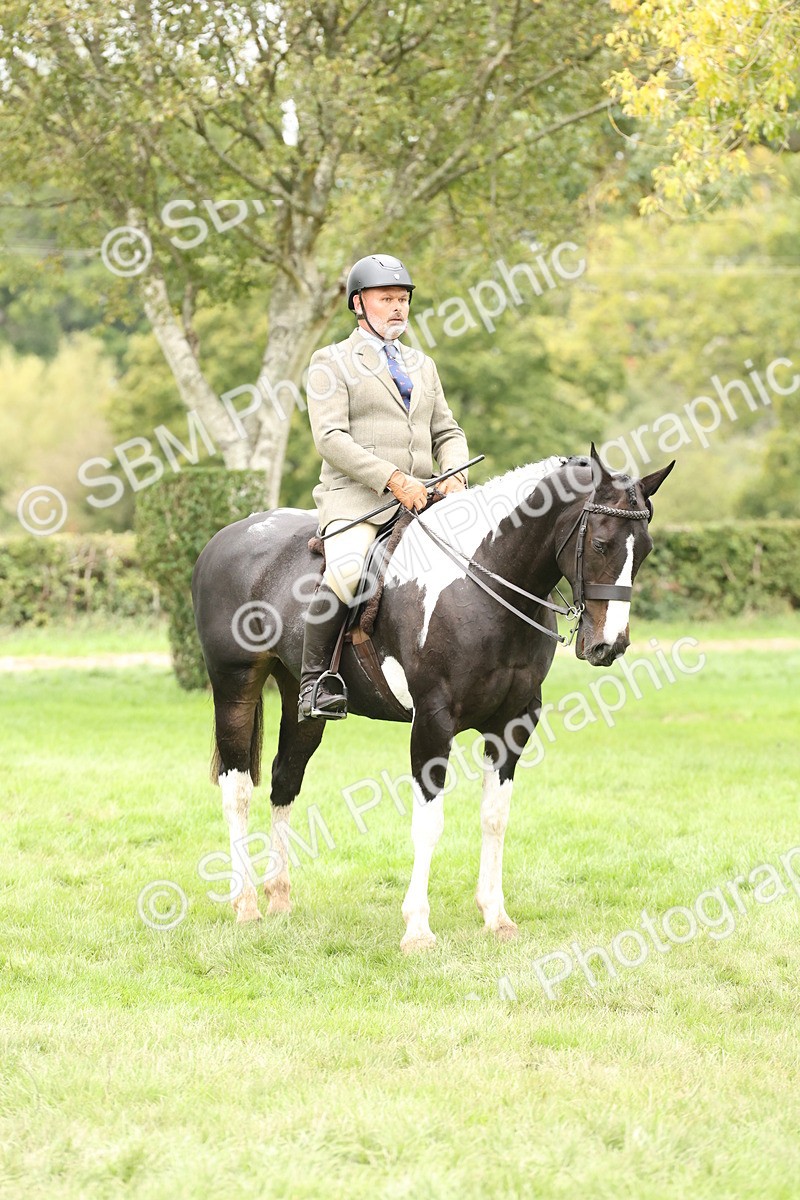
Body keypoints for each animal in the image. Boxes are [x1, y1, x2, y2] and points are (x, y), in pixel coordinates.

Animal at [191, 445, 674, 951]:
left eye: (645, 550)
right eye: (600, 544)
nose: (609, 645)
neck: (483, 580)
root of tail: (227, 537)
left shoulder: (514, 723)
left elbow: (495, 816)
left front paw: (496, 915)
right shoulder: (432, 721)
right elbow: (429, 822)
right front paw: (418, 928)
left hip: (302, 703)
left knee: (285, 779)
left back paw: (279, 897)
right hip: (235, 685)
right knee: (237, 789)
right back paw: (245, 904)